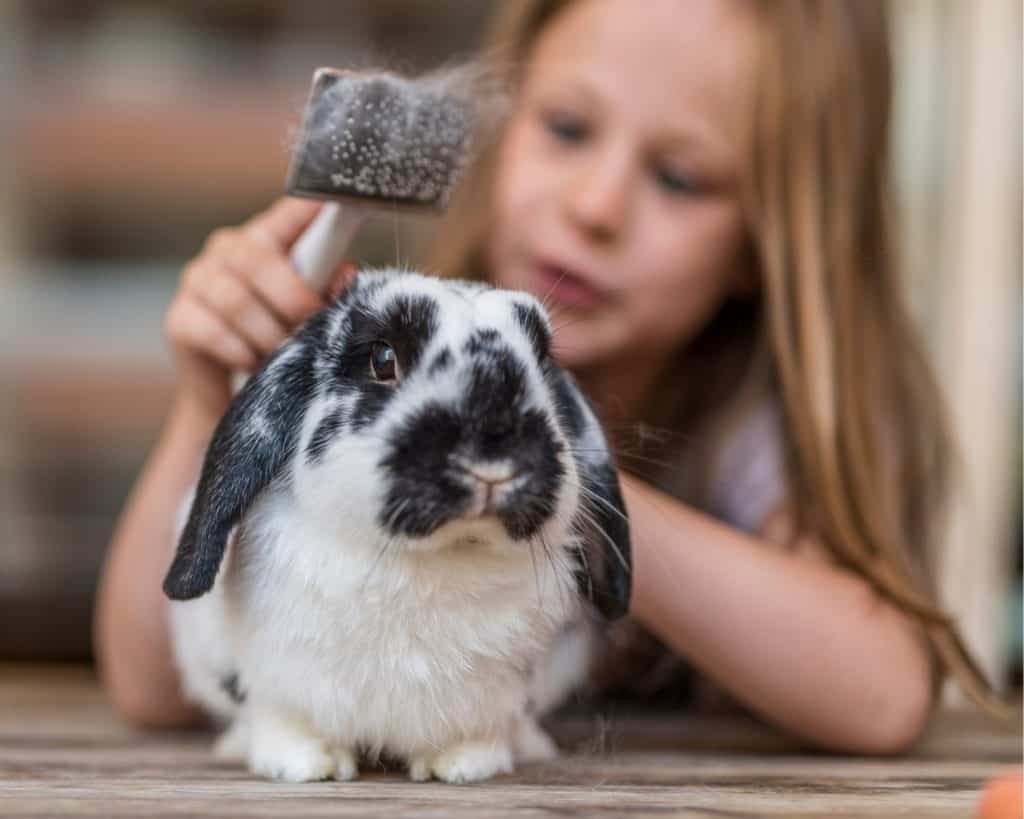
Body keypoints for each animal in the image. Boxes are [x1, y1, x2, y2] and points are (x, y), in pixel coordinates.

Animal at [162, 266, 626, 782]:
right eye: (383, 360)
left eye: (540, 361)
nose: (494, 457)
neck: (437, 557)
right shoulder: (277, 688)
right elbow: (285, 722)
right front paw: (309, 766)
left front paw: (462, 766)